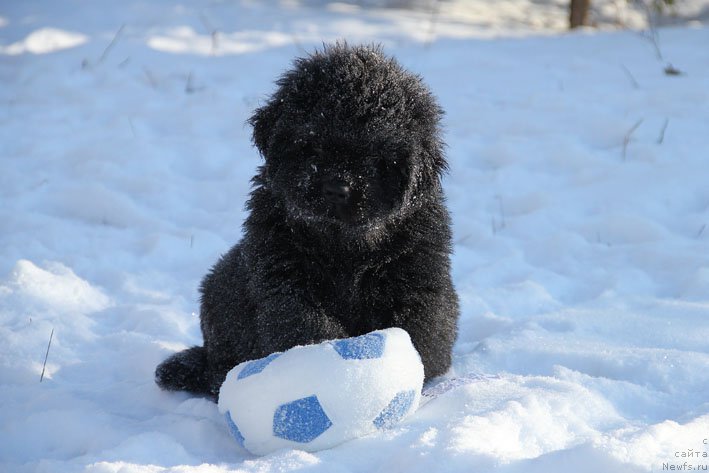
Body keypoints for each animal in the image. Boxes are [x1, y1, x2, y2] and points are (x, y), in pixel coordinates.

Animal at [155, 45, 460, 398]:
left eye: (375, 159)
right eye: (312, 145)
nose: (337, 188)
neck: (344, 244)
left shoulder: (416, 279)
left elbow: (417, 332)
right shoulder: (284, 278)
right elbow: (307, 326)